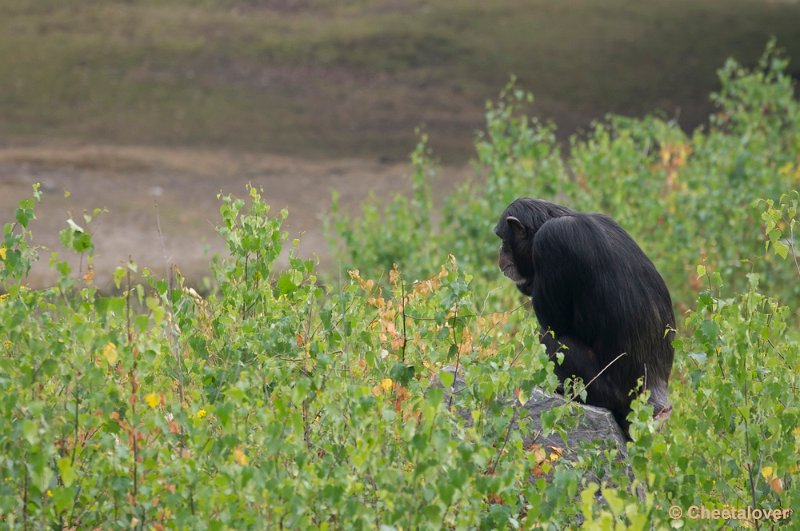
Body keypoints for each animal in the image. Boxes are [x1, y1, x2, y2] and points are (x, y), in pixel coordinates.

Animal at [494, 198, 676, 436]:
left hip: (607, 391)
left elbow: (554, 322)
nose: (500, 252)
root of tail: (657, 403)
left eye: (503, 239)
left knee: (554, 338)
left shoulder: (551, 241)